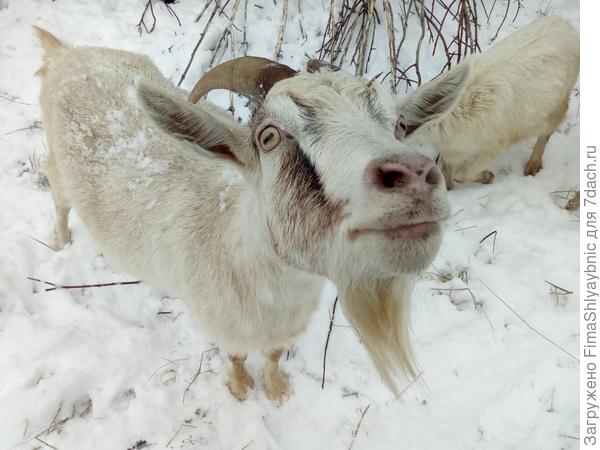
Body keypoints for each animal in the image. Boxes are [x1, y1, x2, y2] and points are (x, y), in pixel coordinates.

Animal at [35, 28, 462, 400]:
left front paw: (277, 390)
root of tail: (65, 52)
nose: (412, 176)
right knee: (58, 203)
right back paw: (61, 245)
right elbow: (237, 356)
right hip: (56, 164)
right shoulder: (224, 326)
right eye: (268, 137)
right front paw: (241, 389)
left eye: (400, 125)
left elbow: (273, 355)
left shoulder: (284, 328)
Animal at [396, 15, 580, 188]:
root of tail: (568, 27)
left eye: (401, 125)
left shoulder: (493, 148)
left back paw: (531, 168)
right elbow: (446, 170)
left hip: (558, 104)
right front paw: (448, 188)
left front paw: (488, 177)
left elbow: (461, 174)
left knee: (546, 133)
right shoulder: (450, 152)